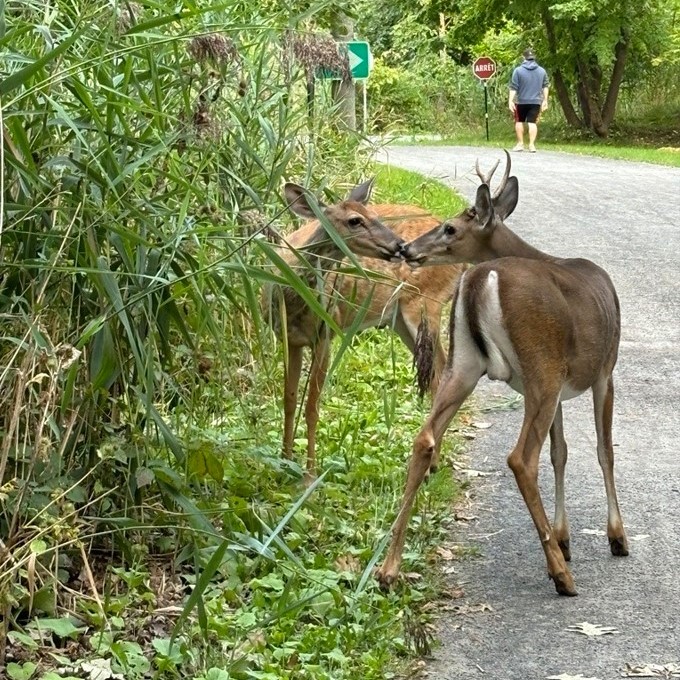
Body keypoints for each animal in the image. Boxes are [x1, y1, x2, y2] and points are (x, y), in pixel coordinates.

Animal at [268, 179, 464, 478]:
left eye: (375, 215)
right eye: (355, 220)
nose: (400, 246)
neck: (293, 297)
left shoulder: (326, 334)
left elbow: (312, 405)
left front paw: (310, 473)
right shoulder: (289, 339)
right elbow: (289, 400)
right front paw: (284, 461)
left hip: (424, 304)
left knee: (438, 375)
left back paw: (430, 463)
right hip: (400, 320)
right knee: (439, 373)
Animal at [374, 153, 628, 596]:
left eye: (450, 227)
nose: (406, 248)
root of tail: (479, 276)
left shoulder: (561, 385)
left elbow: (561, 453)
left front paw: (564, 539)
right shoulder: (603, 370)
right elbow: (603, 450)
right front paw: (615, 537)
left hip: (468, 365)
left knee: (424, 438)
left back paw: (388, 569)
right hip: (540, 367)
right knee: (521, 458)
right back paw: (561, 576)